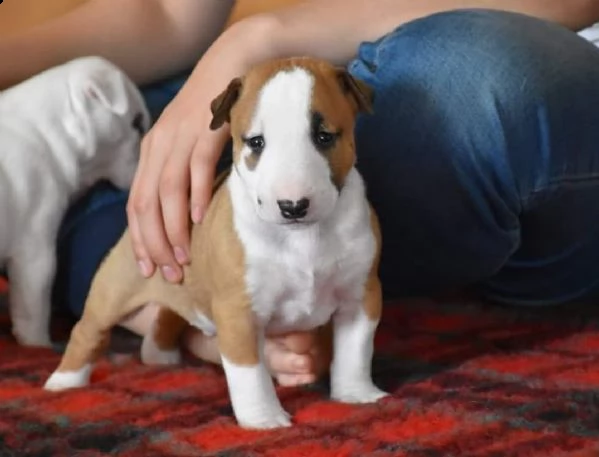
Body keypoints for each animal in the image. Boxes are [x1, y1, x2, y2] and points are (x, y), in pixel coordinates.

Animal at [43, 56, 390, 428]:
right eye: (256, 142)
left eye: (324, 137)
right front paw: (264, 419)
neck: (302, 238)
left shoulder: (361, 295)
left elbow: (355, 349)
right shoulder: (237, 310)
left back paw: (161, 357)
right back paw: (63, 382)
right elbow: (249, 371)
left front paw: (357, 394)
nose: (293, 206)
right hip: (118, 285)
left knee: (167, 316)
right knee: (88, 330)